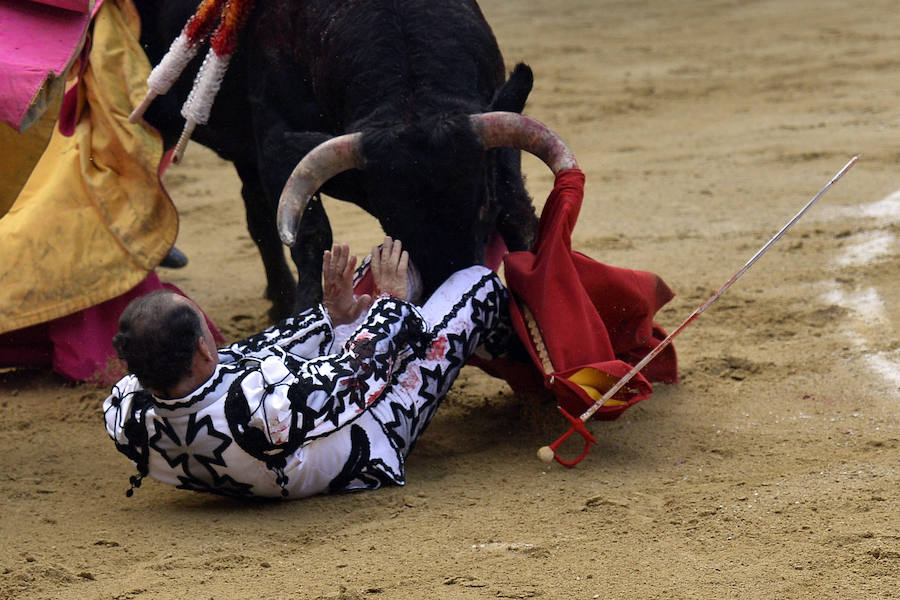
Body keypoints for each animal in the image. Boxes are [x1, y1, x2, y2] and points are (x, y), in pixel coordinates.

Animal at [135, 0, 556, 322]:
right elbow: (311, 236)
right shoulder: (277, 147)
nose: (447, 288)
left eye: (483, 206)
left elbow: (519, 214)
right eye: (390, 219)